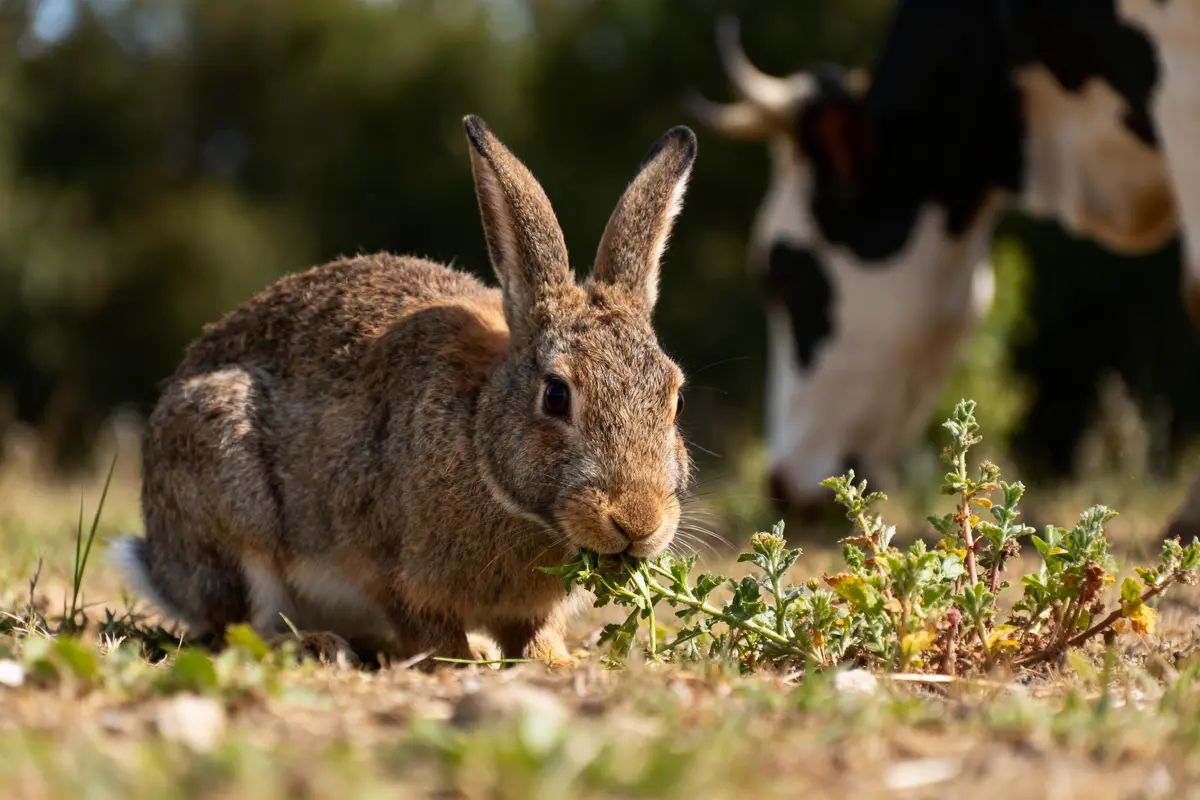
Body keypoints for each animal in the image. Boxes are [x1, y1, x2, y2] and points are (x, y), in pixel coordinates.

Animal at [108, 114, 698, 669]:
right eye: (556, 395)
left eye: (676, 400)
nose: (637, 522)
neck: (480, 441)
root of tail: (161, 565)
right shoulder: (394, 571)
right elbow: (429, 628)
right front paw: (461, 663)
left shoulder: (530, 610)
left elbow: (534, 635)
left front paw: (552, 662)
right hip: (228, 496)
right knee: (236, 627)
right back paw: (317, 646)